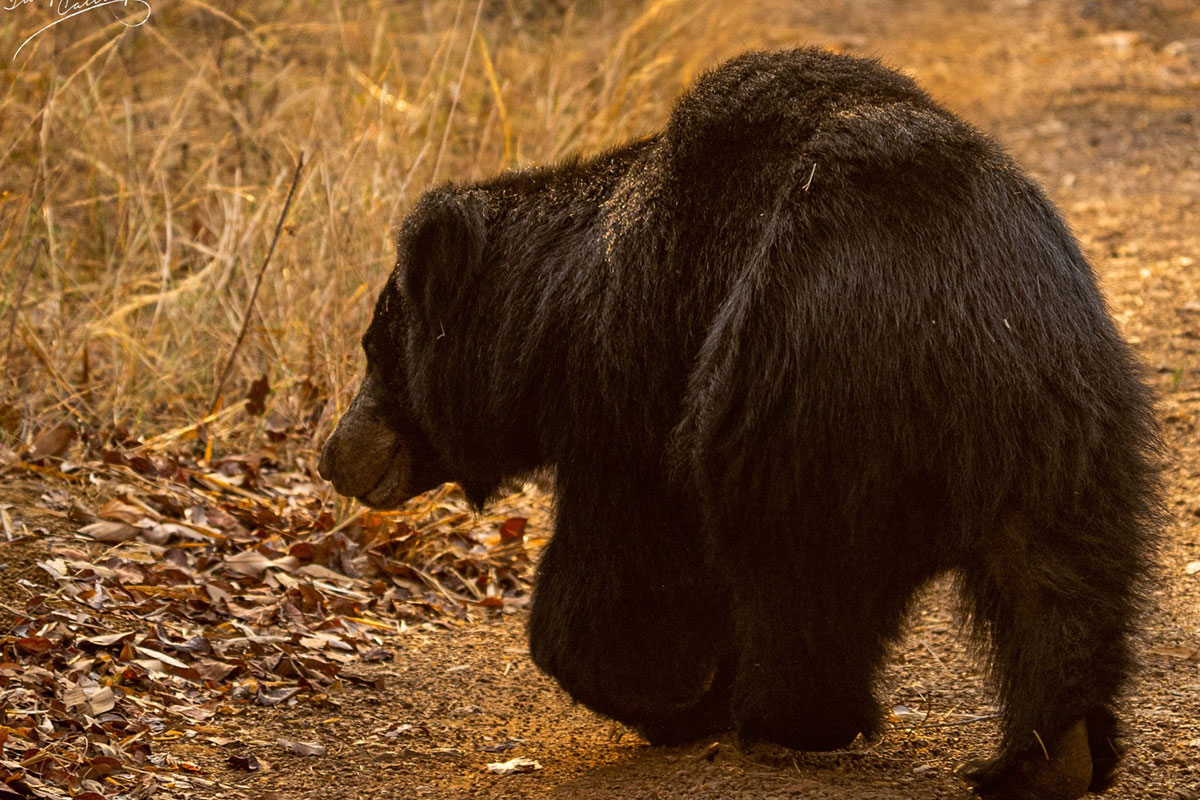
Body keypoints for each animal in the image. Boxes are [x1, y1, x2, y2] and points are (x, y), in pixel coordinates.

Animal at [319, 50, 1161, 800]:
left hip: (803, 408)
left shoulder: (639, 390)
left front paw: (670, 700)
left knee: (805, 581)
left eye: (371, 352)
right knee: (1060, 581)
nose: (331, 456)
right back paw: (1051, 756)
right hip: (1074, 422)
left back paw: (793, 721)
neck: (560, 327)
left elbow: (621, 575)